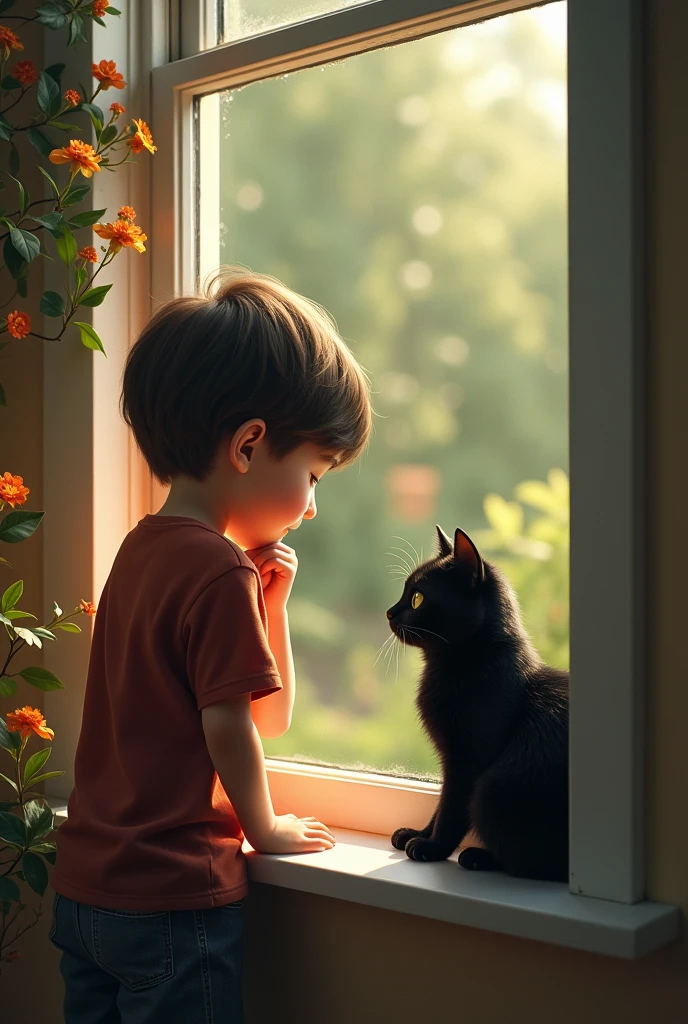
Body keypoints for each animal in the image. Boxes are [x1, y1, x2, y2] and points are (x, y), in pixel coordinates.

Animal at [387, 524, 569, 884]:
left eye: (417, 598)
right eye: (404, 592)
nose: (388, 612)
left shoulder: (468, 761)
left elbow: (452, 809)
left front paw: (432, 847)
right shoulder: (450, 761)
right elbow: (440, 804)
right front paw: (418, 833)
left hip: (492, 788)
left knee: (541, 864)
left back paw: (478, 856)